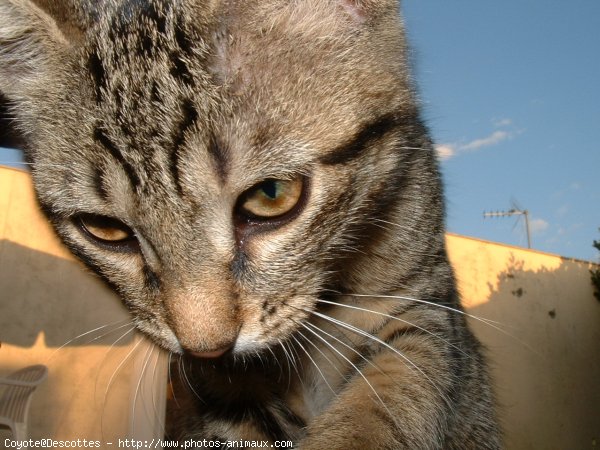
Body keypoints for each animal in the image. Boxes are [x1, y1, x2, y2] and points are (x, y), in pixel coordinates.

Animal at [0, 0, 502, 448]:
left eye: (271, 195)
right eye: (104, 229)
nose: (206, 347)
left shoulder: (423, 304)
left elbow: (389, 397)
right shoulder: (216, 387)